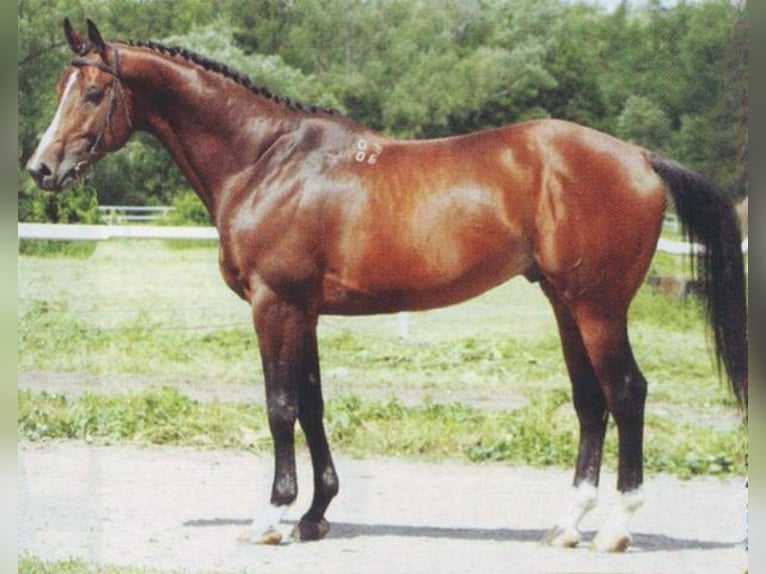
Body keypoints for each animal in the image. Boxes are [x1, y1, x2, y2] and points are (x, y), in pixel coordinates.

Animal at [27, 21, 748, 552]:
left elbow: (280, 406)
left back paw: (617, 529)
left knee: (626, 394)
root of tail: (640, 157)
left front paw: (271, 517)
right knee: (591, 402)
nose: (41, 168)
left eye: (92, 94)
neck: (266, 161)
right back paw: (569, 526)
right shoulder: (306, 311)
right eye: (64, 86)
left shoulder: (275, 304)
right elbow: (312, 405)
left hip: (598, 308)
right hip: (566, 304)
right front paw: (315, 513)